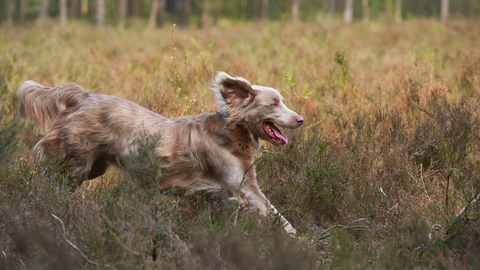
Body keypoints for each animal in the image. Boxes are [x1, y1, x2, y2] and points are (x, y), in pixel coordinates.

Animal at [18, 71, 306, 234]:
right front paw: (302, 243)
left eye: (282, 101)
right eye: (274, 103)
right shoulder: (242, 188)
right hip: (75, 163)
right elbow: (279, 218)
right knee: (47, 178)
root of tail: (84, 96)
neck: (232, 131)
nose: (301, 119)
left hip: (93, 166)